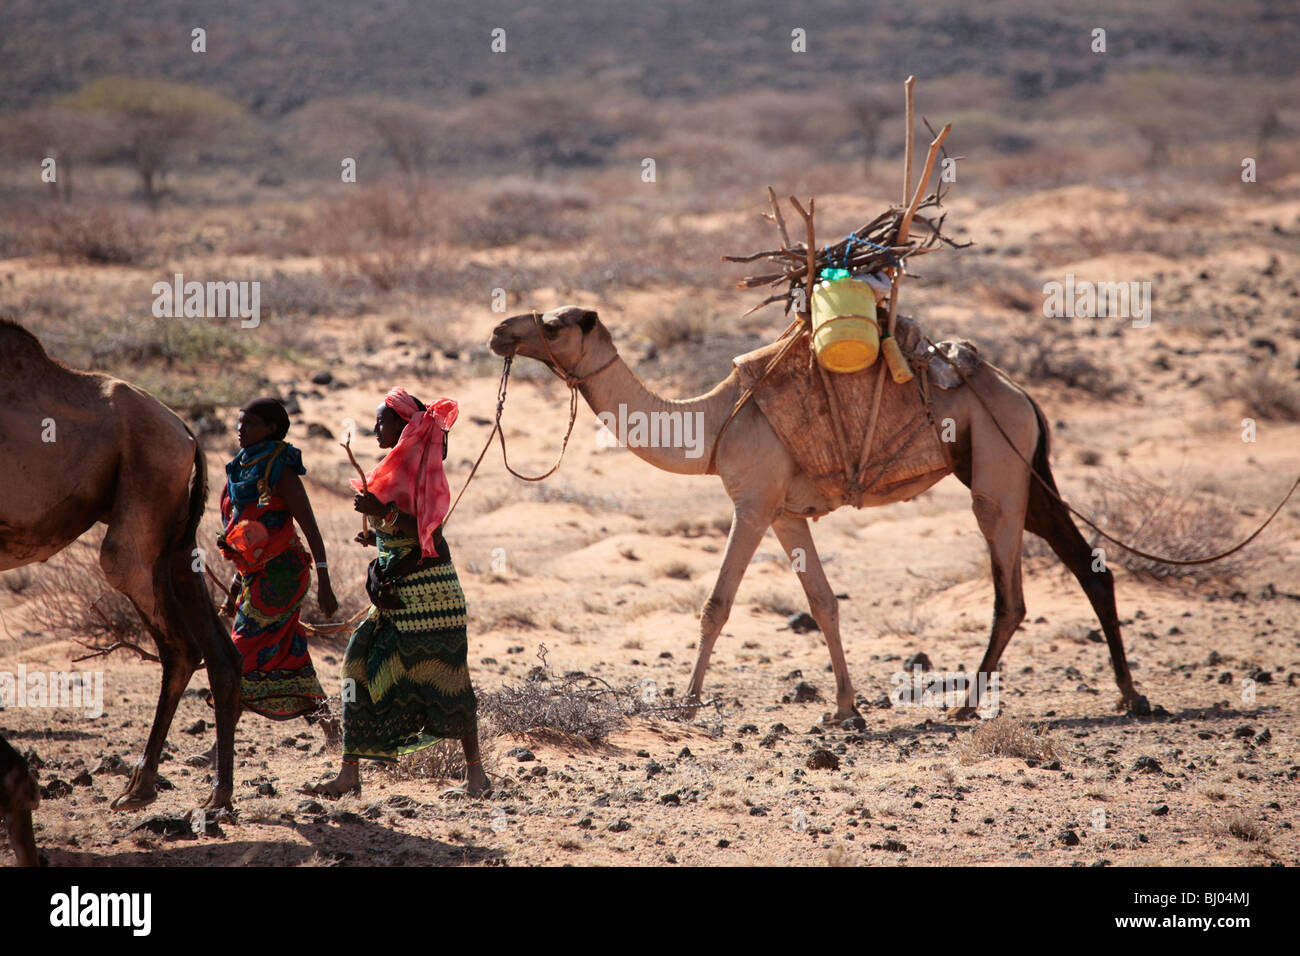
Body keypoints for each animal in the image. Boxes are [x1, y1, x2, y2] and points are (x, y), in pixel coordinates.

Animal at [0, 317, 239, 827]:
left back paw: (157, 789)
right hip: (177, 540)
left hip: (140, 506)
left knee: (176, 641)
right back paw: (196, 792)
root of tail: (186, 432)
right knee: (218, 652)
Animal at [488, 310, 1149, 723]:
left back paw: (968, 703)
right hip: (1023, 473)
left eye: (552, 323)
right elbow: (824, 603)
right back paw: (1129, 695)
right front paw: (845, 710)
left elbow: (716, 604)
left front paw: (688, 703)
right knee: (1086, 563)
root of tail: (1023, 395)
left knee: (1010, 592)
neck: (709, 423)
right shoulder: (785, 513)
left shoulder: (752, 502)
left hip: (996, 474)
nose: (497, 331)